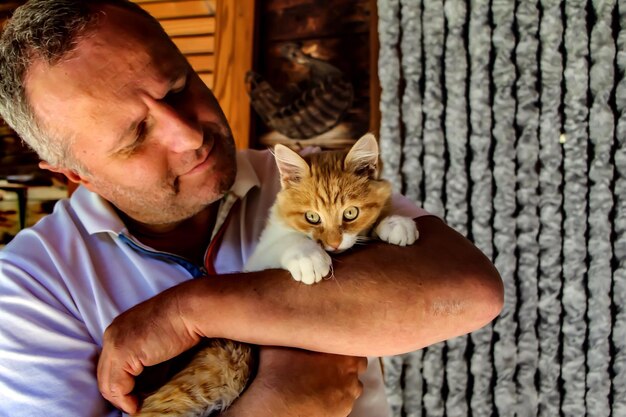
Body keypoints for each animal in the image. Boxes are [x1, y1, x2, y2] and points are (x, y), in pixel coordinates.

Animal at [245, 133, 420, 282]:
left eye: (350, 213)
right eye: (312, 217)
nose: (335, 244)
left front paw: (394, 222)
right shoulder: (257, 258)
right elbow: (287, 240)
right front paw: (307, 256)